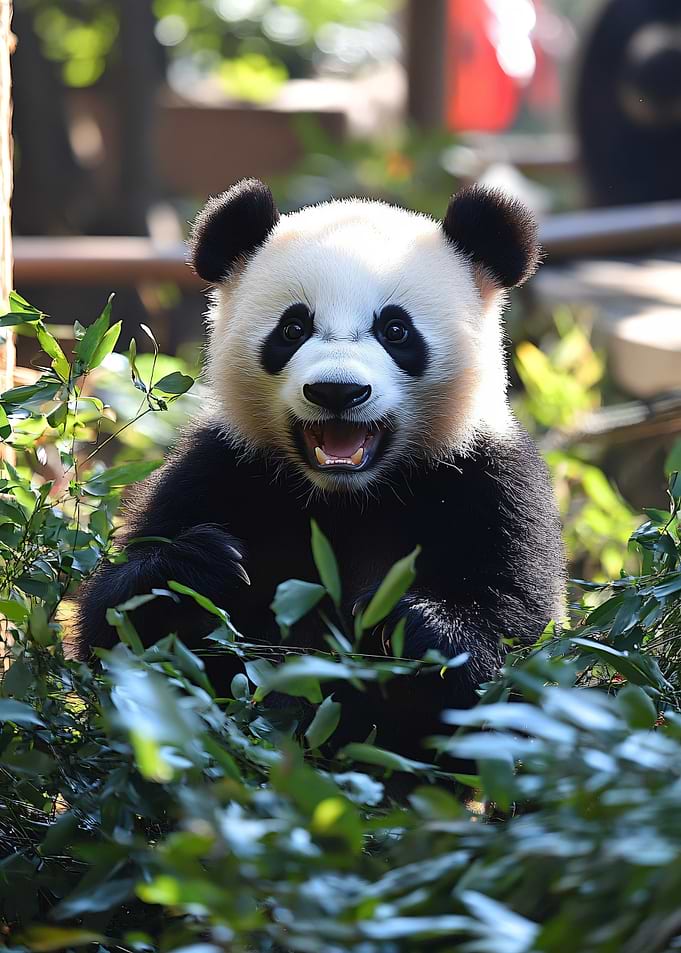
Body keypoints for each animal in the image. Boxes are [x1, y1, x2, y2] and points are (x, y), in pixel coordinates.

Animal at [78, 179, 565, 759]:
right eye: (292, 328)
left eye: (396, 330)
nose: (337, 391)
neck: (348, 494)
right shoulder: (221, 468)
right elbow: (112, 632)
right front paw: (199, 564)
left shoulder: (487, 483)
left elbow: (518, 646)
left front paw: (415, 622)